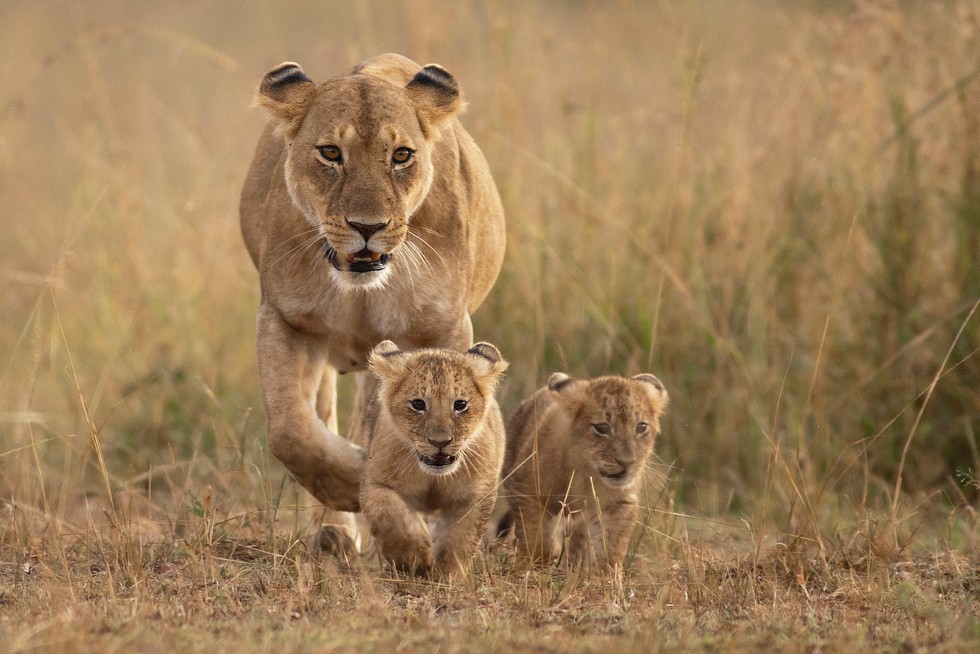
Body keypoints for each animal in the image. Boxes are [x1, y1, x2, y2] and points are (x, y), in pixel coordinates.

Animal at [239, 54, 505, 548]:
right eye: (330, 153)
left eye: (401, 155)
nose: (368, 227)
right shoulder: (286, 319)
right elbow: (291, 430)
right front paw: (349, 487)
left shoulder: (442, 328)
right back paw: (333, 530)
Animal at [359, 340, 507, 579]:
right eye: (418, 404)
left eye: (460, 404)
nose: (440, 442)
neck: (434, 476)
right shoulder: (376, 484)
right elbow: (390, 517)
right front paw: (416, 561)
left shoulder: (474, 495)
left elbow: (459, 539)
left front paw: (447, 575)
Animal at [498, 372, 669, 574]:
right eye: (601, 428)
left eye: (641, 427)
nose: (627, 462)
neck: (586, 472)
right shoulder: (526, 490)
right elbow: (537, 538)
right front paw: (536, 566)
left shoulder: (617, 503)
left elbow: (609, 548)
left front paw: (602, 578)